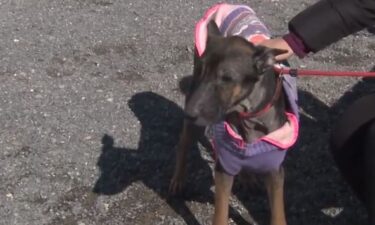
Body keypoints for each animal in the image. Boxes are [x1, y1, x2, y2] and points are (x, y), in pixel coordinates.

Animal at [170, 3, 300, 225]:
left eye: (226, 78)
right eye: (202, 71)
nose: (189, 113)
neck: (249, 115)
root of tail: (226, 5)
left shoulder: (275, 171)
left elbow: (278, 213)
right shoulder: (224, 169)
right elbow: (221, 214)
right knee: (183, 143)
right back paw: (178, 179)